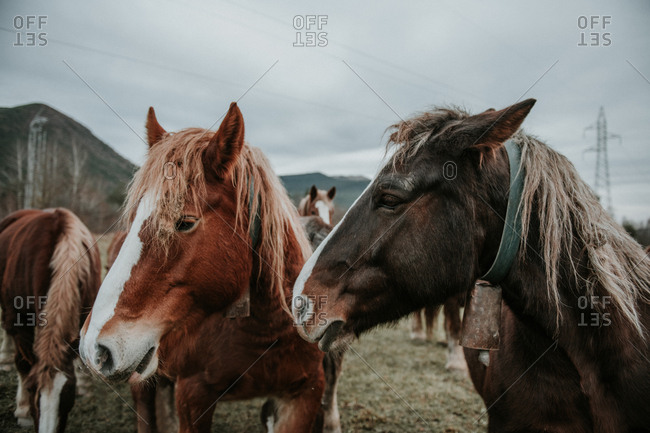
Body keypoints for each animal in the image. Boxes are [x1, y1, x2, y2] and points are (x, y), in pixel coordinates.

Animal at [79, 103, 341, 433]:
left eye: (185, 222)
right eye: (134, 215)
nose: (94, 348)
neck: (265, 332)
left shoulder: (303, 396)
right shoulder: (193, 395)